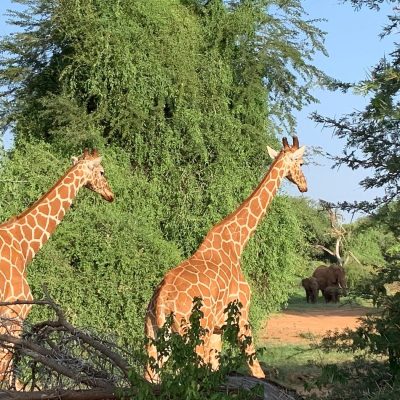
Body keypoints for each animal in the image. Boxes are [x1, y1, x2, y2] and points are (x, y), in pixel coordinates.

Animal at [145, 135, 308, 382]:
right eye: (300, 163)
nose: (304, 185)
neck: (236, 245)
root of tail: (162, 300)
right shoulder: (241, 317)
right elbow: (256, 369)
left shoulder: (217, 329)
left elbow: (216, 370)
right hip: (193, 334)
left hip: (153, 335)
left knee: (150, 376)